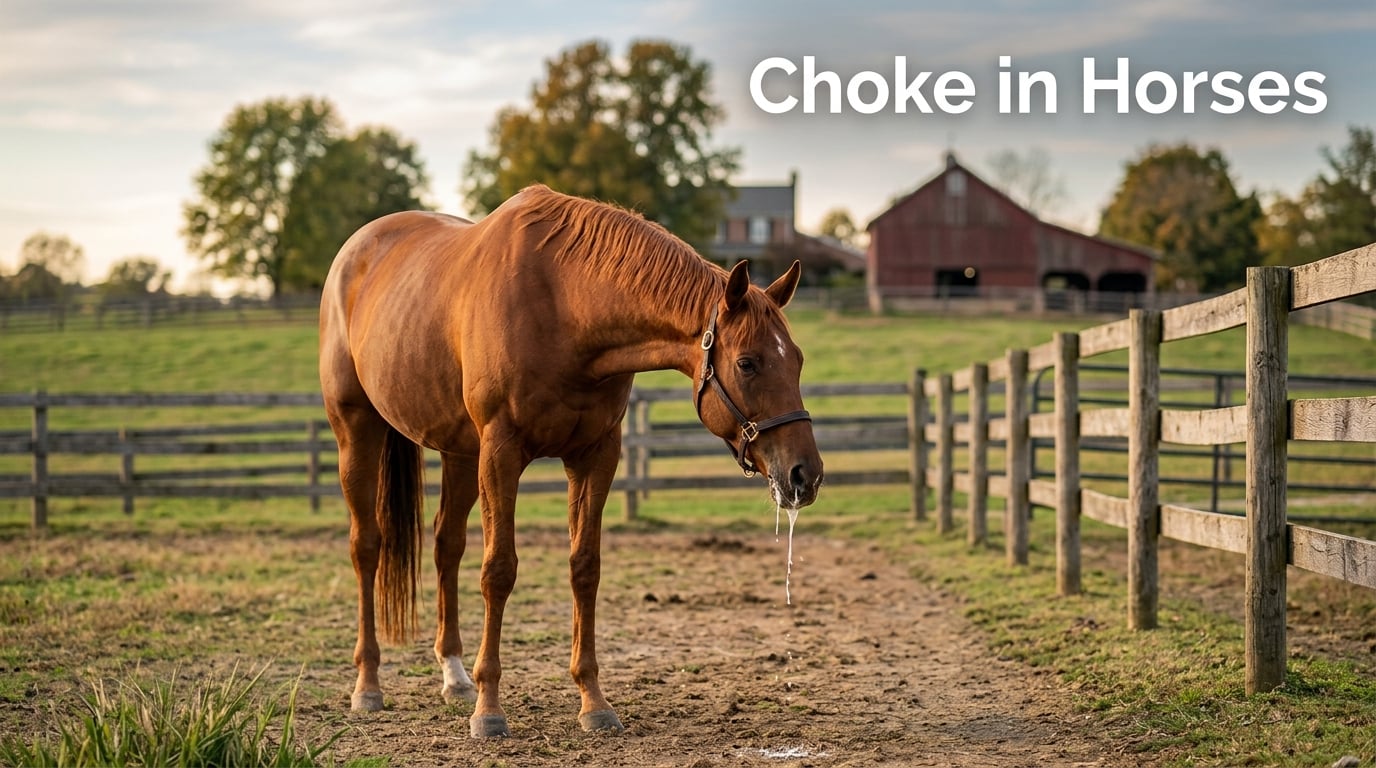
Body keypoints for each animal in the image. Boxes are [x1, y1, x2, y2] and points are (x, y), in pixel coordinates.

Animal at [318, 184, 824, 738]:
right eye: (747, 363)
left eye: (797, 360)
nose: (805, 474)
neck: (564, 307)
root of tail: (356, 251)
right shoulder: (501, 452)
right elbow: (499, 570)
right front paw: (490, 710)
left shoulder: (595, 455)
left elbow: (585, 567)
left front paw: (593, 701)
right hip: (357, 432)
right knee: (366, 547)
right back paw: (368, 685)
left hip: (459, 452)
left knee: (446, 545)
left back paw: (454, 676)